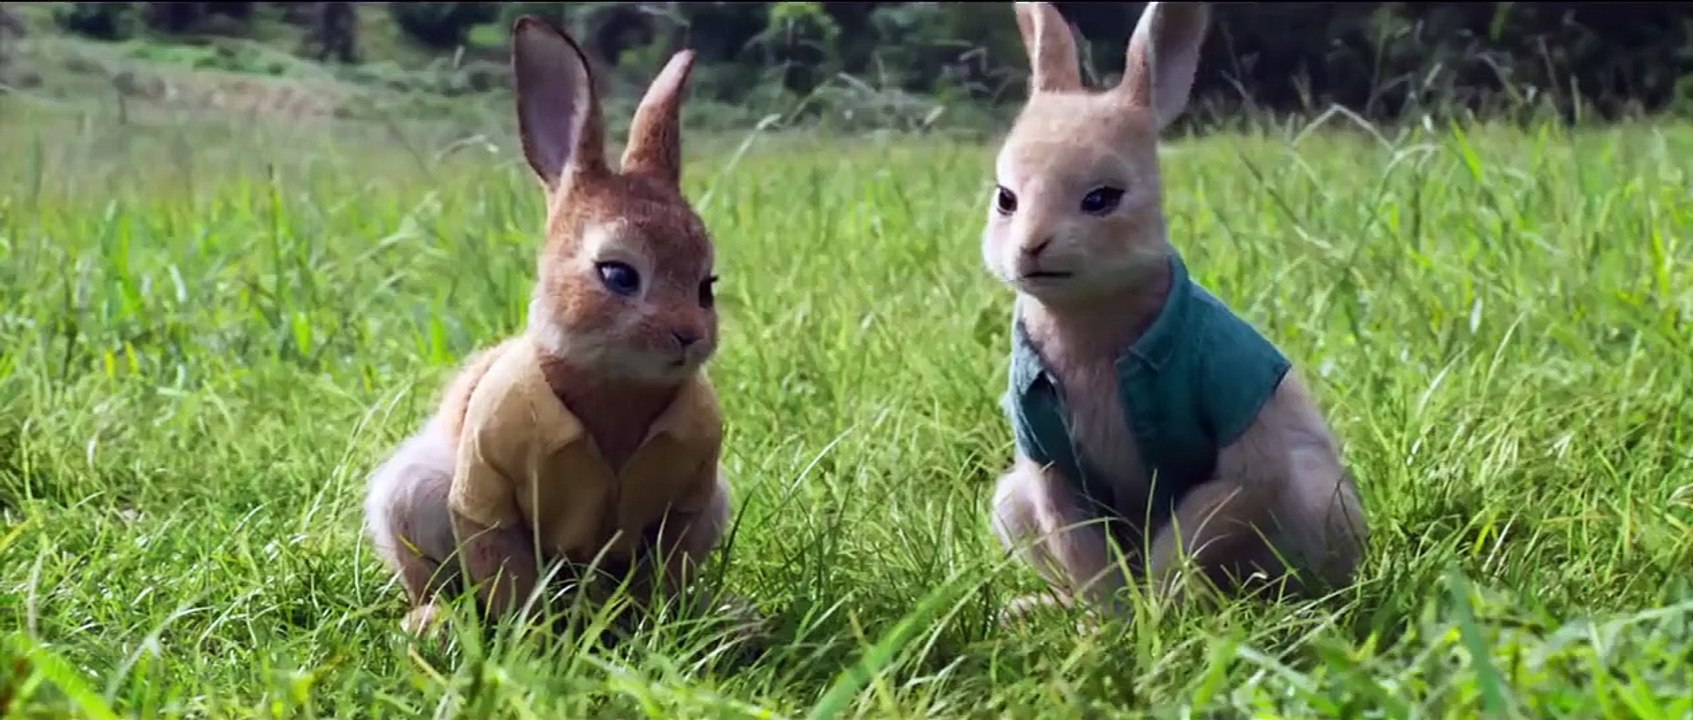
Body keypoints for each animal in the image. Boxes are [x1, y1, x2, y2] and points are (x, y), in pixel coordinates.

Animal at [363, 16, 735, 636]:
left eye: (706, 286)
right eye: (617, 274)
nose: (688, 337)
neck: (616, 392)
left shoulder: (693, 489)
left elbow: (666, 568)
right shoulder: (485, 486)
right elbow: (505, 567)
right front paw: (534, 639)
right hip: (409, 494)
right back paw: (434, 622)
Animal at [981, 1, 1369, 621]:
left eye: (1103, 198)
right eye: (1005, 198)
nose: (1031, 248)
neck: (1092, 333)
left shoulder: (1241, 431)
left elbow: (1194, 531)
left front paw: (1157, 613)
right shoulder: (1047, 469)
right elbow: (1082, 551)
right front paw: (1112, 625)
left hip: (1317, 501)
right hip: (1010, 499)